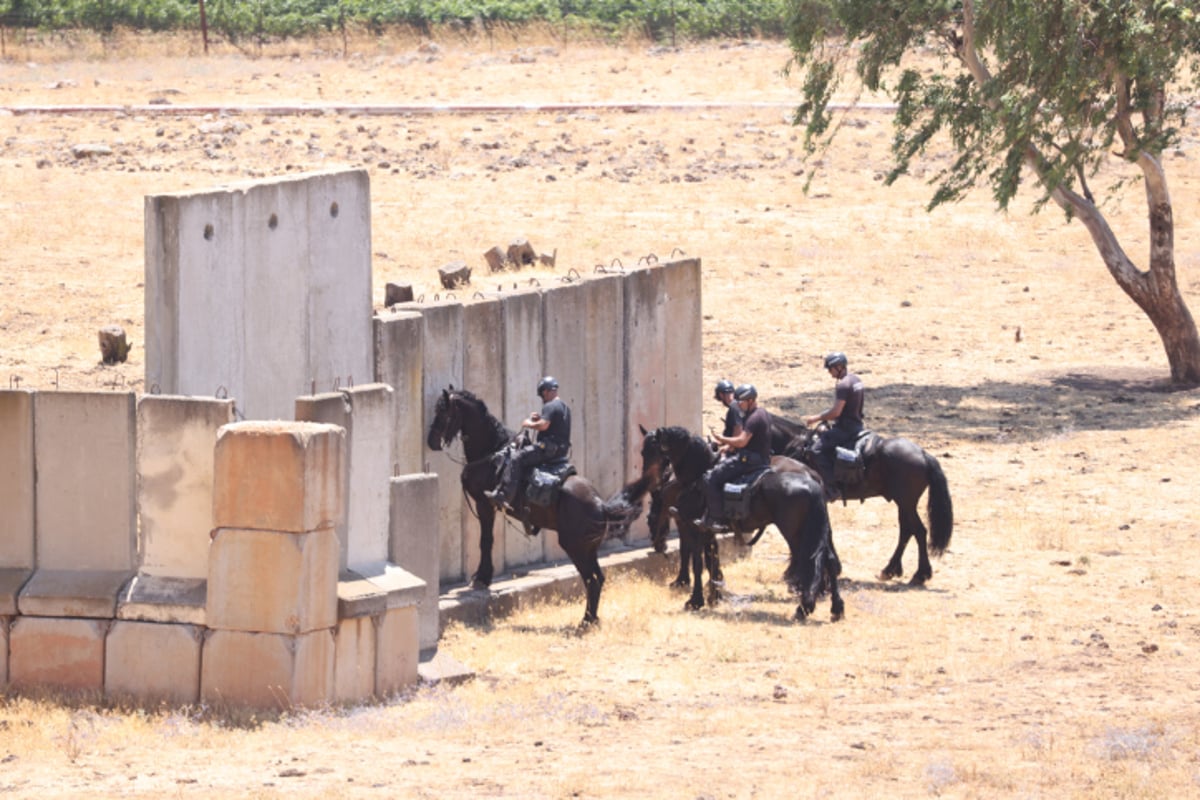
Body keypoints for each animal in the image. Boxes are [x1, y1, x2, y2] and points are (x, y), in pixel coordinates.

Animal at [432, 386, 652, 623]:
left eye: (442, 412)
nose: (431, 441)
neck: (492, 452)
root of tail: (601, 506)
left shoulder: (484, 504)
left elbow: (486, 540)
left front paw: (481, 578)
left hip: (575, 546)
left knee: (591, 579)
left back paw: (584, 621)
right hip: (588, 548)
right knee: (599, 578)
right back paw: (591, 619)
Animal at [638, 424, 844, 618]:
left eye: (650, 451)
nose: (649, 480)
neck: (696, 478)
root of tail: (813, 481)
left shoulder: (692, 527)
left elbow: (695, 561)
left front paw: (694, 599)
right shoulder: (707, 530)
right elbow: (711, 559)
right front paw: (714, 594)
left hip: (796, 533)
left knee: (809, 560)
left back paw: (804, 605)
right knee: (828, 560)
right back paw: (835, 608)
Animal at [782, 422, 950, 585]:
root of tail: (923, 454)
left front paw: (794, 570)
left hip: (906, 504)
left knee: (919, 531)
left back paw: (920, 574)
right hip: (904, 505)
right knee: (907, 531)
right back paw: (890, 570)